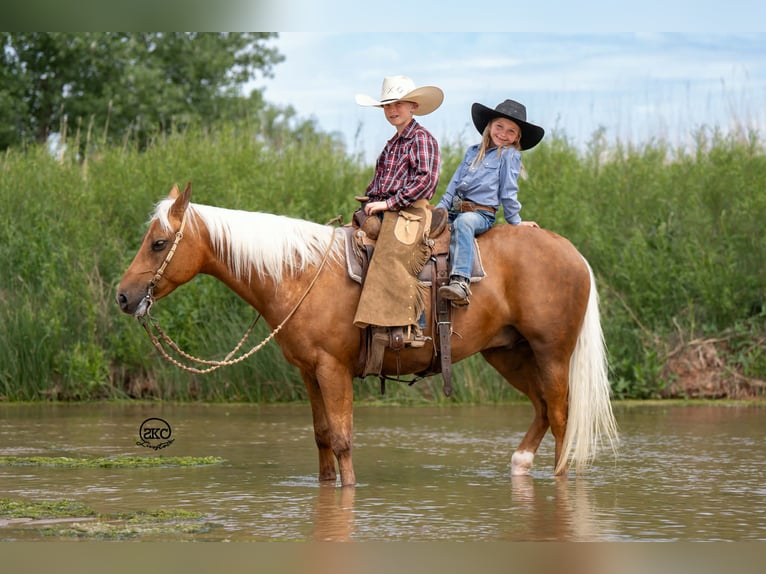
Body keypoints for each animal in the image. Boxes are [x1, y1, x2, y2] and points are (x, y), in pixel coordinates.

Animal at [116, 183, 618, 486]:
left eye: (159, 243)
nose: (123, 296)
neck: (298, 274)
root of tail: (573, 253)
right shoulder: (308, 372)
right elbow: (322, 436)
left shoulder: (332, 368)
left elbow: (342, 439)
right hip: (509, 353)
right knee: (541, 408)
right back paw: (519, 465)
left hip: (551, 352)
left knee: (560, 414)